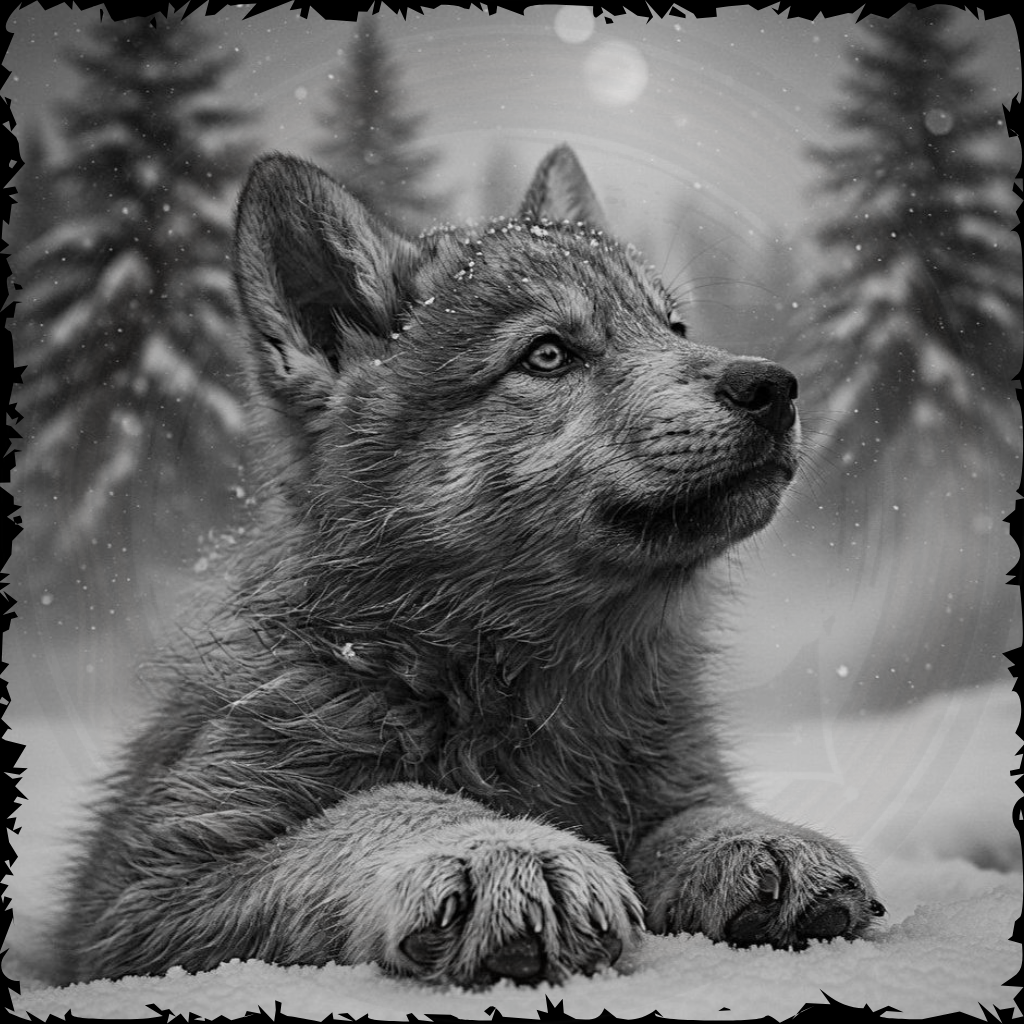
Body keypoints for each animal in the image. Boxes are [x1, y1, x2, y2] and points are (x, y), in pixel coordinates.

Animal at [55, 146, 883, 987]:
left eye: (675, 326)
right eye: (547, 354)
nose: (773, 385)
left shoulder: (671, 777)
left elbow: (683, 816)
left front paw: (747, 837)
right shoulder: (133, 906)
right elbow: (385, 802)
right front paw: (503, 849)